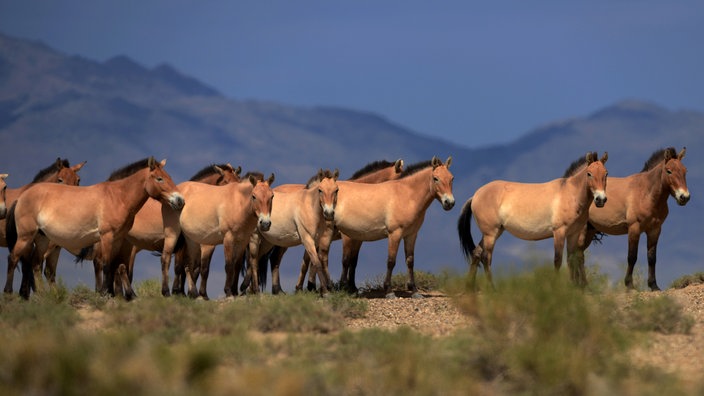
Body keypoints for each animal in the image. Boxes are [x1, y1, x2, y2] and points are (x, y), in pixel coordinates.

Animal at [6, 158, 183, 300]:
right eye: (160, 178)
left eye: (169, 177)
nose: (180, 200)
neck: (118, 197)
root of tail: (22, 197)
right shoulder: (107, 237)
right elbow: (106, 264)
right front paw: (105, 292)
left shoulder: (118, 239)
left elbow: (117, 265)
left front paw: (118, 294)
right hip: (26, 237)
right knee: (14, 258)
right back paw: (9, 292)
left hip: (42, 239)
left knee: (36, 264)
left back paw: (44, 295)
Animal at [320, 156, 456, 298]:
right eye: (436, 178)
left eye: (452, 178)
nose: (449, 202)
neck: (406, 195)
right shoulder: (394, 234)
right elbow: (391, 261)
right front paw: (389, 291)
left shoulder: (411, 235)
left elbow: (410, 261)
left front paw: (414, 290)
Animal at [460, 151, 608, 288]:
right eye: (589, 173)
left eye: (606, 174)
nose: (601, 199)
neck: (570, 194)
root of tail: (476, 195)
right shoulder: (559, 232)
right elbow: (558, 260)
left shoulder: (573, 233)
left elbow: (571, 259)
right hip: (490, 234)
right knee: (486, 257)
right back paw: (492, 288)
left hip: (494, 232)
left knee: (477, 253)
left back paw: (469, 287)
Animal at [580, 147, 692, 290]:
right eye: (669, 171)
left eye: (685, 171)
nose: (684, 197)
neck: (646, 194)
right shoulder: (634, 228)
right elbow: (632, 257)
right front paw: (629, 285)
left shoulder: (655, 230)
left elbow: (652, 258)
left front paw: (653, 285)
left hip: (590, 230)